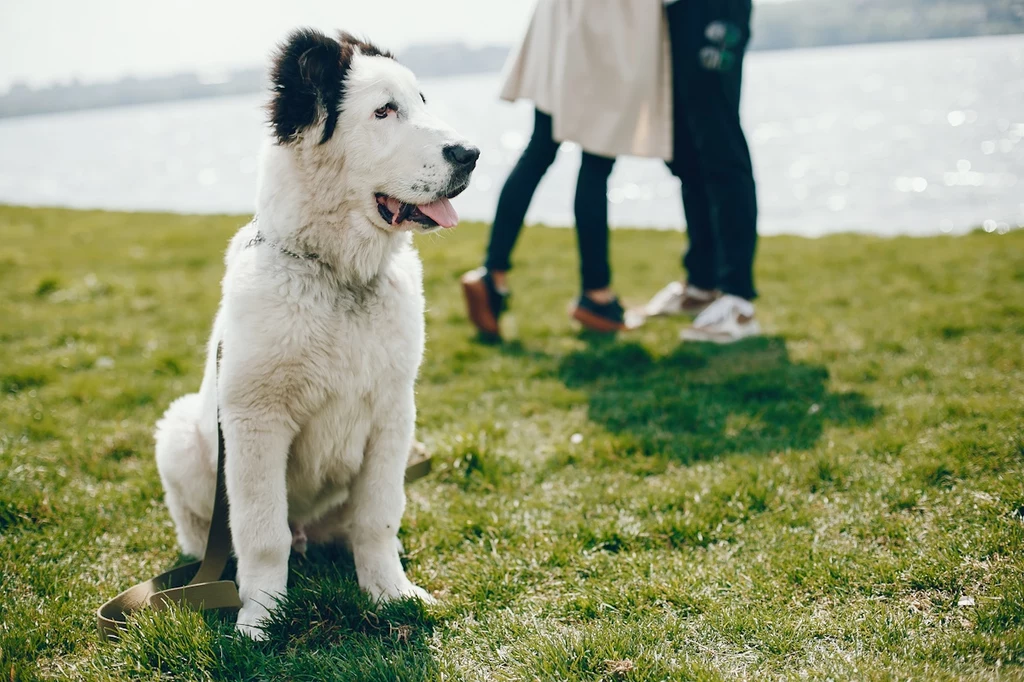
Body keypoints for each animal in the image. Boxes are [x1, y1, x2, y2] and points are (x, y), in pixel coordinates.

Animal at [152, 27, 479, 638]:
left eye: (422, 101)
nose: (470, 153)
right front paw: (260, 618)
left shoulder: (393, 414)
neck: (339, 278)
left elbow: (378, 518)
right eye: (384, 111)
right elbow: (262, 532)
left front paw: (390, 593)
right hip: (180, 435)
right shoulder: (256, 421)